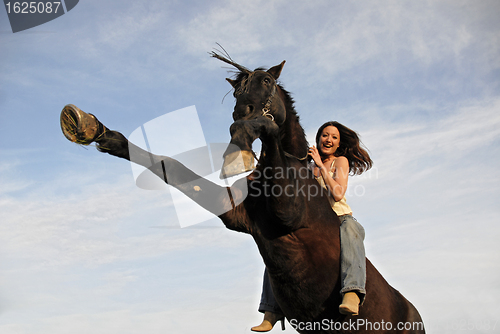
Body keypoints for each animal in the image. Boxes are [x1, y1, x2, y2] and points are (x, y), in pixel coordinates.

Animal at [60, 53, 424, 332]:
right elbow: (170, 166)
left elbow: (269, 129)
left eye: (267, 83)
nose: (241, 111)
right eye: (236, 93)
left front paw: (241, 148)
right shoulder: (233, 211)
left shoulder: (288, 214)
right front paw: (94, 130)